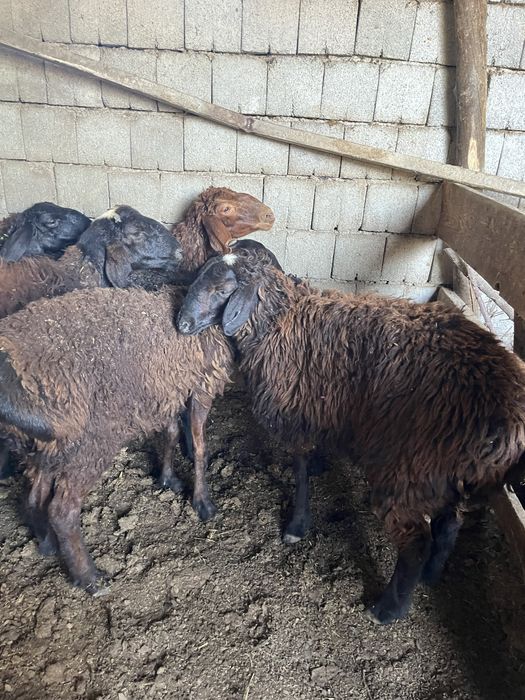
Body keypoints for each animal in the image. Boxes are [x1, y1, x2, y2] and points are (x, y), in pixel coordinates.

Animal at [0, 285, 234, 594]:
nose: (186, 324)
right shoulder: (199, 386)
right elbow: (198, 446)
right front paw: (203, 502)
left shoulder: (165, 391)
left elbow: (171, 433)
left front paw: (168, 479)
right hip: (90, 443)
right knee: (62, 511)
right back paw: (91, 578)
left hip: (53, 448)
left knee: (35, 497)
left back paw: (48, 545)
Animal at [177, 247, 525, 625]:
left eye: (222, 290)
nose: (181, 323)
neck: (280, 321)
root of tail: (507, 422)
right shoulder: (319, 410)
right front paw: (319, 469)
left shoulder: (297, 412)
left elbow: (300, 470)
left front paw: (297, 524)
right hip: (443, 473)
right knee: (448, 525)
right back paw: (431, 575)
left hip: (408, 469)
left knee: (417, 540)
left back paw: (388, 609)